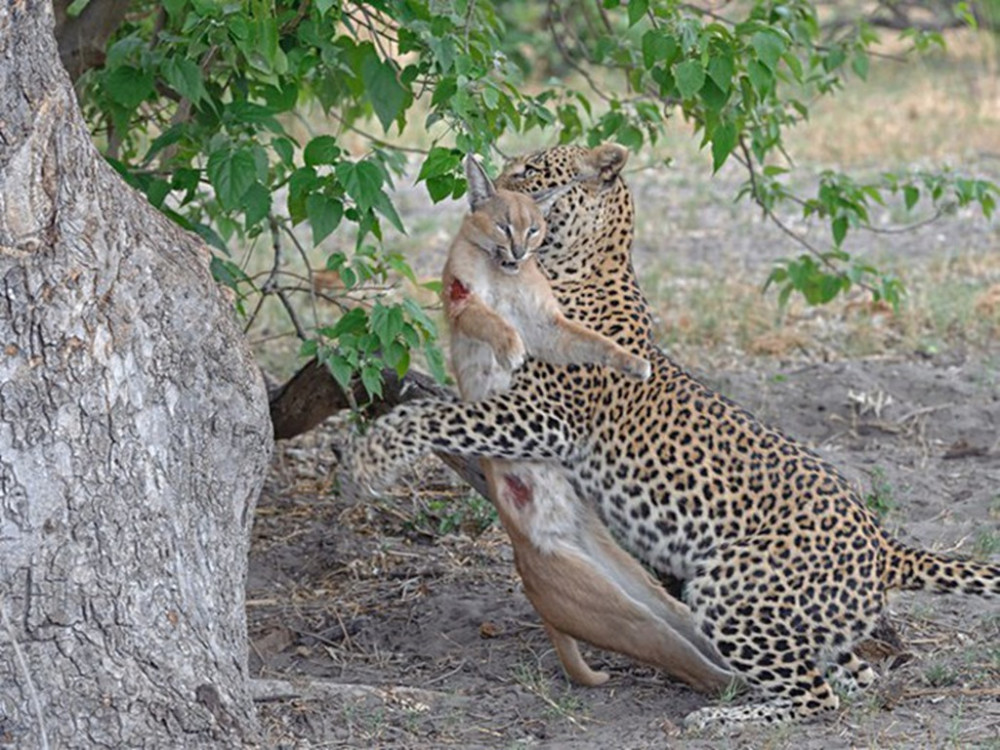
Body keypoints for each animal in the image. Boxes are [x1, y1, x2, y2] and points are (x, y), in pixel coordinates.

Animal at [340, 144, 996, 732]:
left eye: (530, 170)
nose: (490, 191)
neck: (576, 266)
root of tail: (885, 545)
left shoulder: (543, 416)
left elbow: (439, 414)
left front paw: (371, 458)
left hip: (727, 587)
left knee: (814, 697)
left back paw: (722, 718)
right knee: (852, 677)